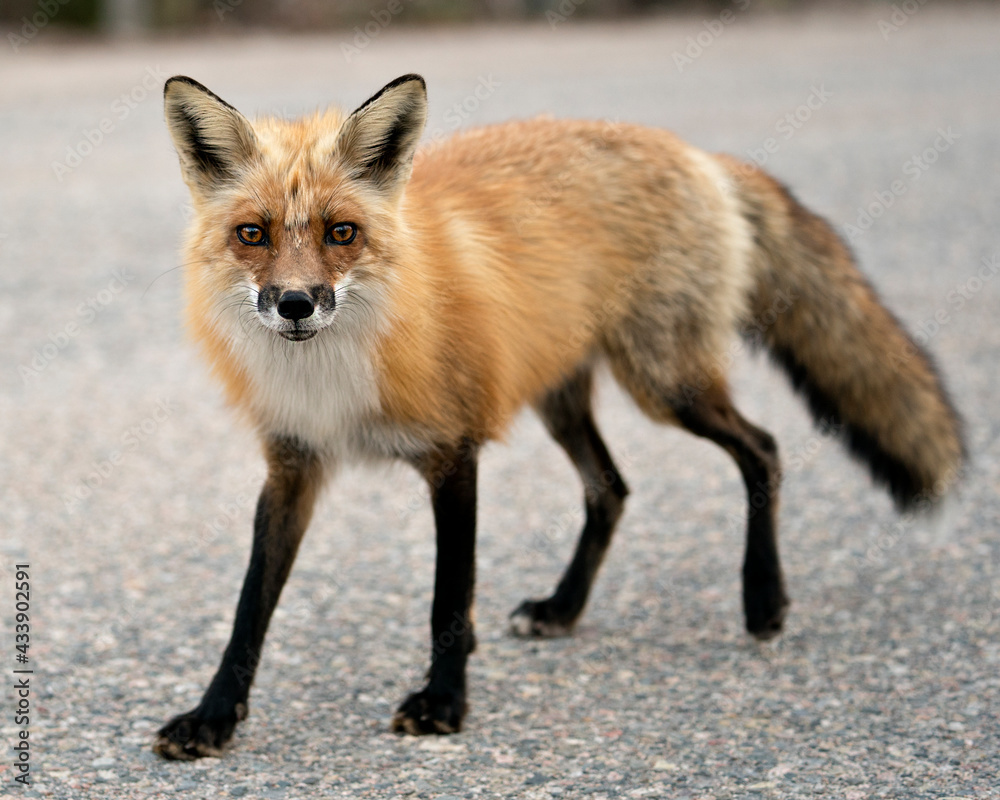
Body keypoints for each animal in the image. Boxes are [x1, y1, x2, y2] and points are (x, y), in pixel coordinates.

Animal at [154, 73, 964, 760]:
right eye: (253, 234)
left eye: (341, 233)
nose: (295, 304)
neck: (330, 373)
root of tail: (694, 152)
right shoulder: (293, 465)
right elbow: (248, 610)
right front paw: (213, 717)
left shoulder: (453, 452)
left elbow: (448, 597)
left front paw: (444, 702)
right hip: (562, 399)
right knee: (613, 489)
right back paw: (564, 608)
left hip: (664, 384)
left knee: (761, 448)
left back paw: (763, 600)